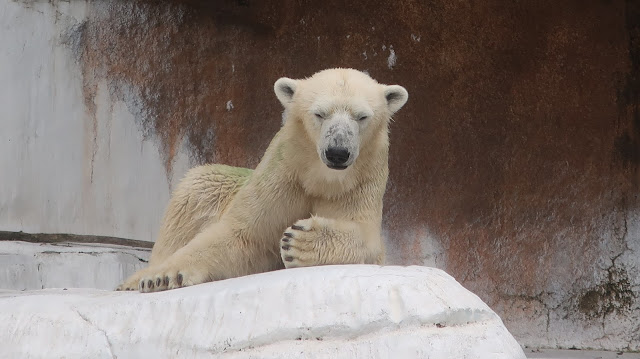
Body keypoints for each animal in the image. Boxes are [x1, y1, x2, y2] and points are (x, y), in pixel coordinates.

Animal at [117, 67, 408, 292]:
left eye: (362, 117)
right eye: (319, 113)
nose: (338, 152)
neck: (319, 178)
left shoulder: (359, 183)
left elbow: (366, 239)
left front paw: (298, 241)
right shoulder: (282, 176)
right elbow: (241, 235)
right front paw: (160, 277)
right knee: (197, 189)